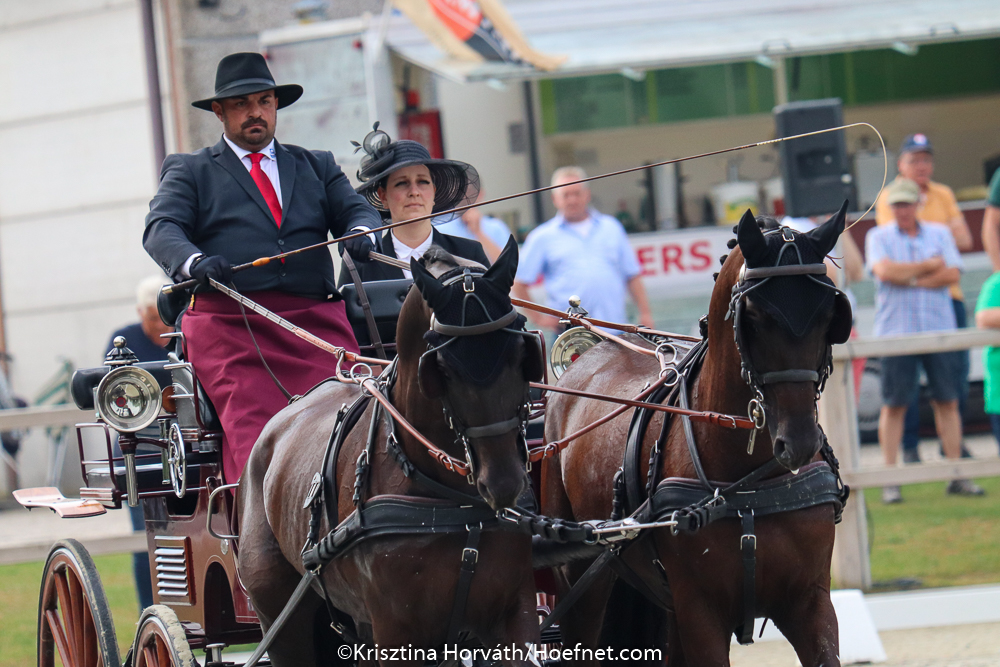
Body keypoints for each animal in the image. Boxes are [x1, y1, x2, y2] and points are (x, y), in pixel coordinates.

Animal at [239, 239, 546, 667]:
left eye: (522, 352)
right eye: (442, 368)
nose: (503, 483)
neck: (455, 501)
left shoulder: (514, 614)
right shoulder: (396, 632)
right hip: (281, 618)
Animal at [541, 206, 853, 666]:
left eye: (830, 316)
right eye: (753, 317)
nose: (797, 442)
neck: (748, 484)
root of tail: (588, 354)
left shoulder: (810, 603)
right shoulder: (700, 612)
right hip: (579, 577)